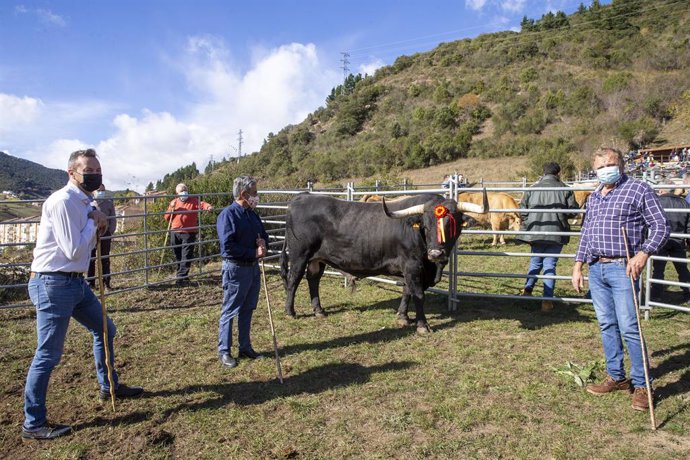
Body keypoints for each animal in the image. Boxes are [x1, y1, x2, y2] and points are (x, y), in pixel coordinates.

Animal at [276, 190, 486, 334]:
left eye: (452, 224)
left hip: (317, 259)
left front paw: (403, 317)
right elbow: (418, 294)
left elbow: (407, 291)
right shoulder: (412, 266)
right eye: (425, 226)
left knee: (313, 279)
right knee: (294, 280)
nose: (435, 253)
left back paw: (319, 310)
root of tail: (302, 197)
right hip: (300, 255)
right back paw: (290, 311)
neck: (432, 267)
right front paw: (422, 325)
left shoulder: (411, 269)